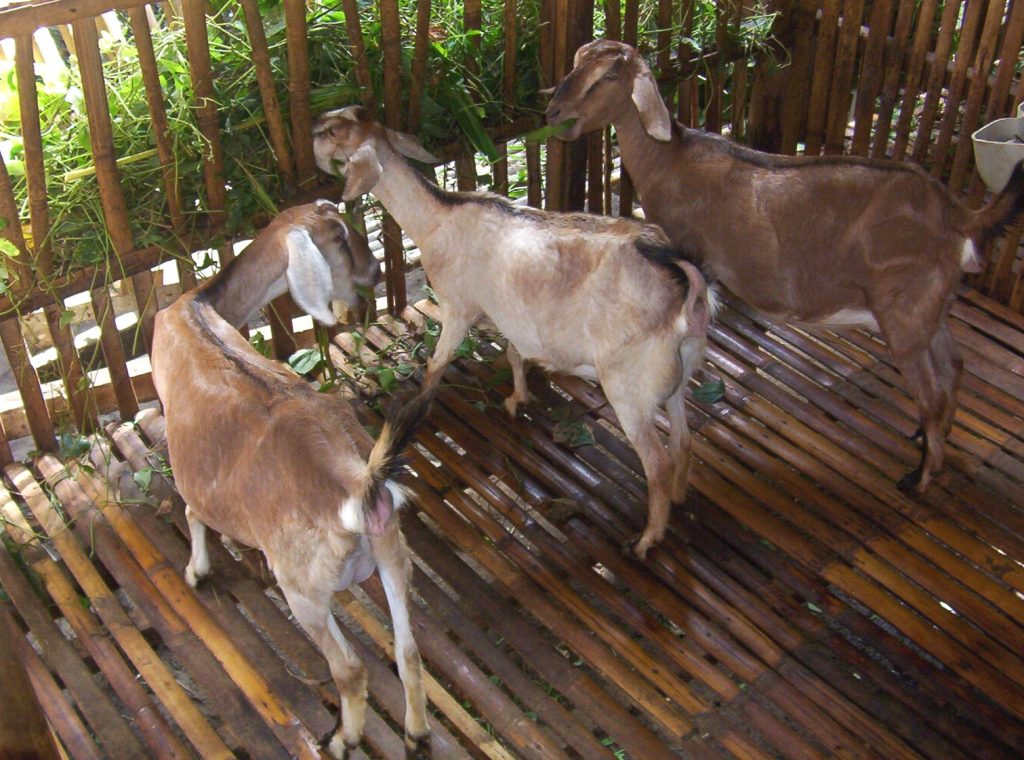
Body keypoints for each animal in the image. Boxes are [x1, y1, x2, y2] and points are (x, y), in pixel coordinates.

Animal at [150, 200, 432, 758]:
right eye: (339, 236)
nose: (374, 272)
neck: (199, 308)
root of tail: (355, 487)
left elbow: (192, 507)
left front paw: (197, 570)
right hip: (394, 554)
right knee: (408, 651)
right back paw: (415, 731)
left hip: (304, 590)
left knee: (349, 669)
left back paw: (343, 739)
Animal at [312, 106, 717, 559]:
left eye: (335, 132)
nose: (312, 132)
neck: (437, 218)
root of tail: (685, 290)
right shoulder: (509, 314)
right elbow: (513, 355)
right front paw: (516, 399)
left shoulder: (458, 306)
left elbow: (436, 364)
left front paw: (417, 411)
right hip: (678, 373)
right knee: (683, 441)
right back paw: (679, 498)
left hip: (629, 386)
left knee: (658, 462)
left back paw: (647, 540)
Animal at [546, 39, 1024, 493]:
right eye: (576, 61)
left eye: (608, 76)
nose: (554, 111)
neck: (670, 158)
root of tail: (958, 216)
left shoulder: (690, 253)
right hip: (931, 308)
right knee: (954, 367)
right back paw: (926, 439)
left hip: (904, 314)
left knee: (932, 393)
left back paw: (920, 478)